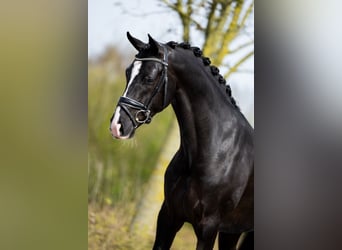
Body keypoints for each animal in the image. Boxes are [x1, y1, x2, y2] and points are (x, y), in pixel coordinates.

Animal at [110, 33, 254, 250]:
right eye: (128, 73)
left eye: (148, 78)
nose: (117, 126)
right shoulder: (168, 218)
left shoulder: (208, 229)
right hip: (233, 231)